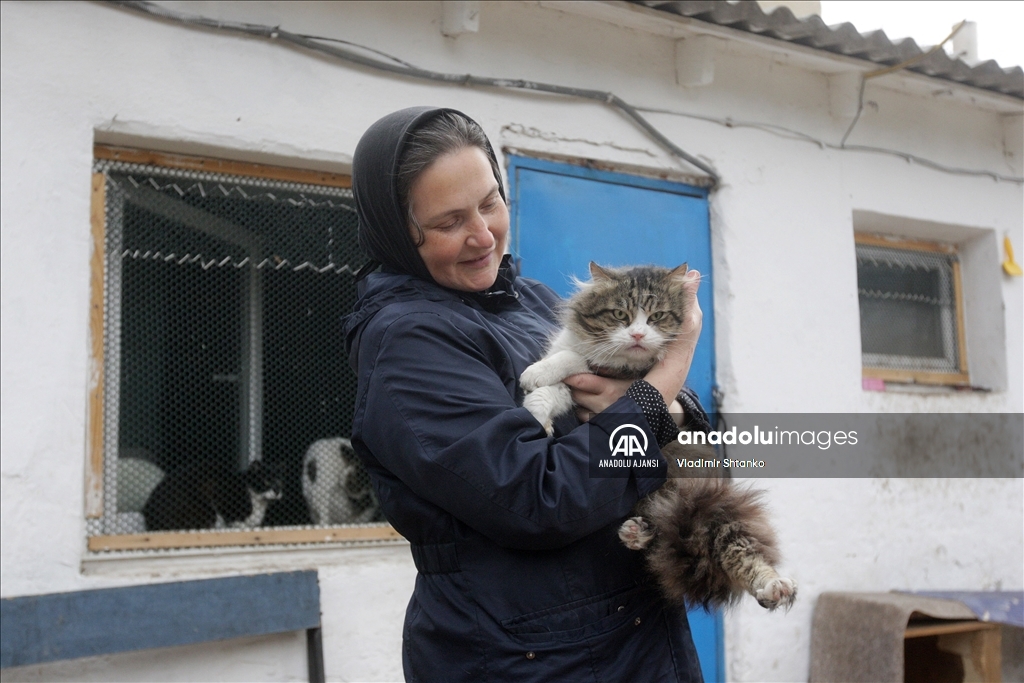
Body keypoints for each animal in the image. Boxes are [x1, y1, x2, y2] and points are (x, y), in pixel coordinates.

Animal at [524, 260, 794, 610]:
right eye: (620, 315)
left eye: (657, 317)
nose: (638, 334)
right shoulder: (574, 384)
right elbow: (550, 389)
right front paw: (536, 414)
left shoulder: (613, 370)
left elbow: (574, 359)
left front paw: (535, 375)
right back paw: (636, 533)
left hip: (709, 508)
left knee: (741, 552)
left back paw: (773, 586)